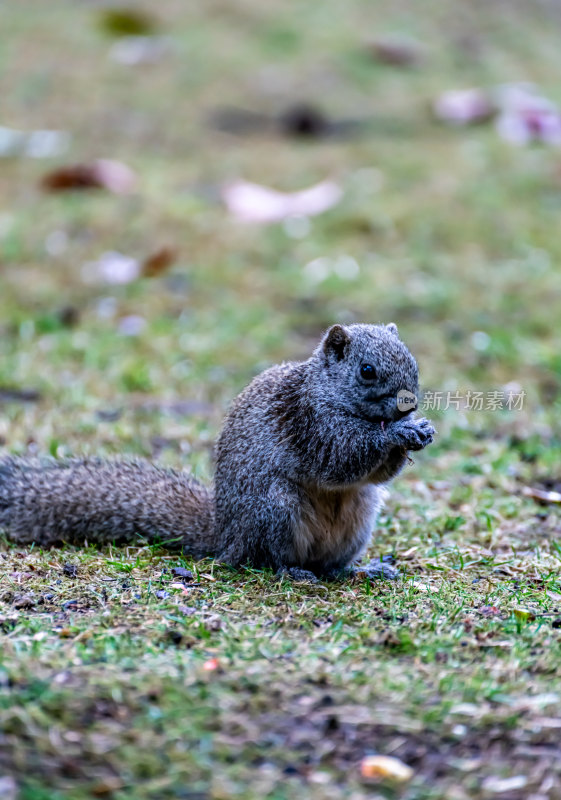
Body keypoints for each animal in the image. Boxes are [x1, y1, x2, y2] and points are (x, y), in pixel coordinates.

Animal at [0, 324, 434, 580]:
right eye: (366, 371)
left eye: (413, 360)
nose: (409, 405)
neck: (327, 389)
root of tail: (226, 537)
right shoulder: (310, 422)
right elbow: (341, 456)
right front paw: (399, 432)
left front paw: (421, 430)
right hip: (275, 509)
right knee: (265, 559)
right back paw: (292, 572)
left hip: (360, 516)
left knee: (329, 566)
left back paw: (360, 571)